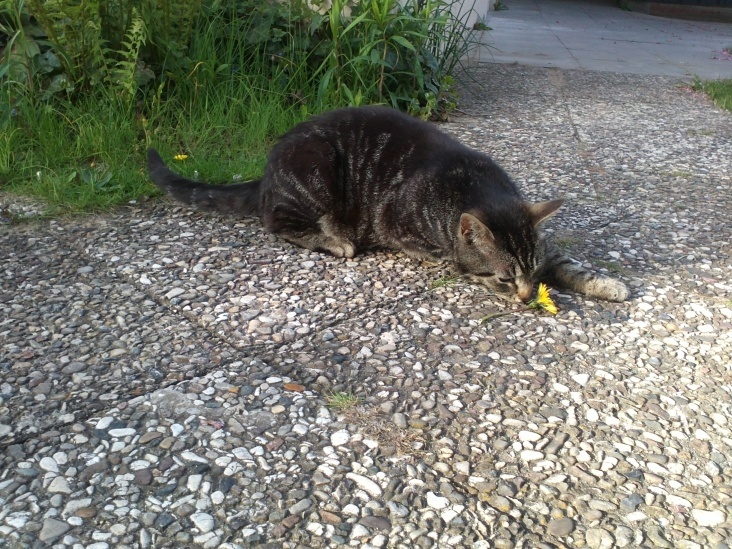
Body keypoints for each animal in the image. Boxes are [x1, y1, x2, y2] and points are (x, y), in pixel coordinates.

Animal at [149, 106, 628, 304]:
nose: (528, 298)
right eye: (506, 279)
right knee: (276, 221)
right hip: (317, 171)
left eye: (530, 273)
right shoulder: (395, 221)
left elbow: (565, 262)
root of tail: (269, 167)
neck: (475, 185)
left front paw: (603, 283)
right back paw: (334, 239)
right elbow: (442, 253)